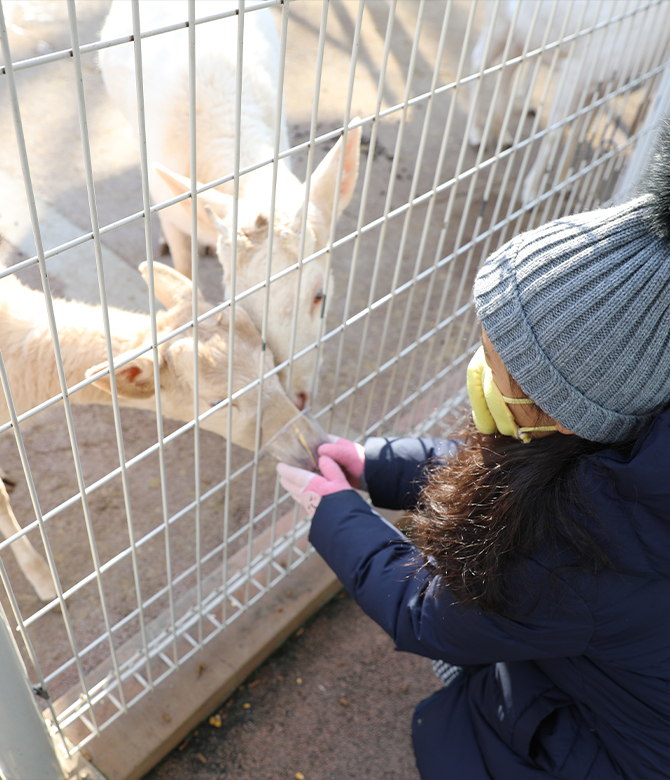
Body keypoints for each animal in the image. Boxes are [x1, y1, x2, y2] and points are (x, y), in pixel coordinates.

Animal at [470, 0, 670, 206]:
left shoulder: (600, 89)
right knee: (479, 64)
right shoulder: (576, 72)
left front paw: (563, 185)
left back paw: (503, 136)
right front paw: (531, 193)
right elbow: (555, 133)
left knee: (506, 75)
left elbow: (578, 133)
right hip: (498, 23)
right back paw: (477, 135)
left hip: (520, 37)